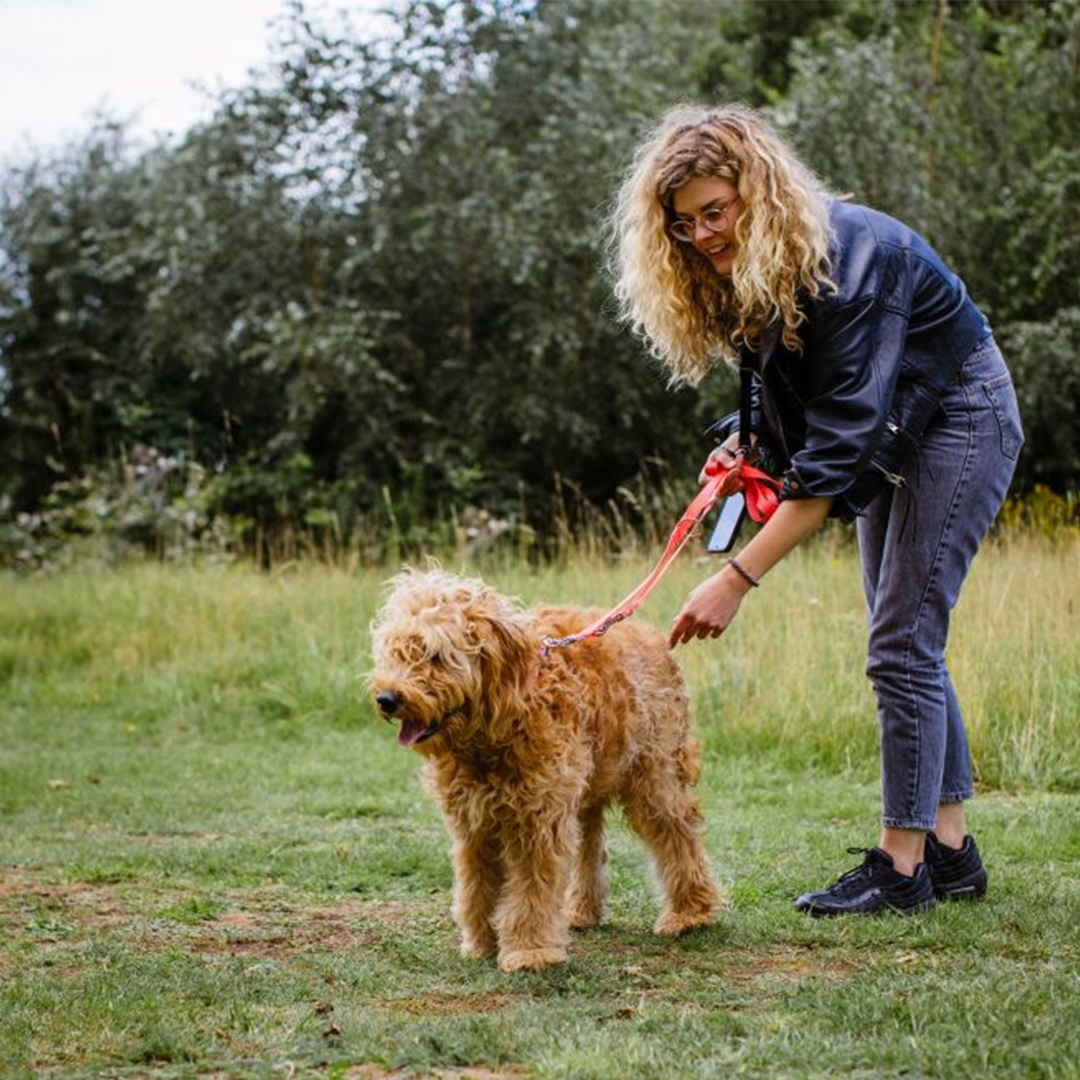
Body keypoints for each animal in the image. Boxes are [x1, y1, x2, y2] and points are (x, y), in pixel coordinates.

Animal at [367, 565, 721, 972]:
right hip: (586, 785)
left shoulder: (537, 820)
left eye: (434, 656)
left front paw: (529, 951)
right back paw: (581, 911)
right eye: (396, 651)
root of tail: (653, 637)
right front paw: (480, 943)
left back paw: (691, 913)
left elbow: (532, 890)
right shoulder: (473, 824)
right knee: (590, 846)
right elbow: (476, 885)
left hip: (653, 776)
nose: (386, 698)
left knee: (678, 833)